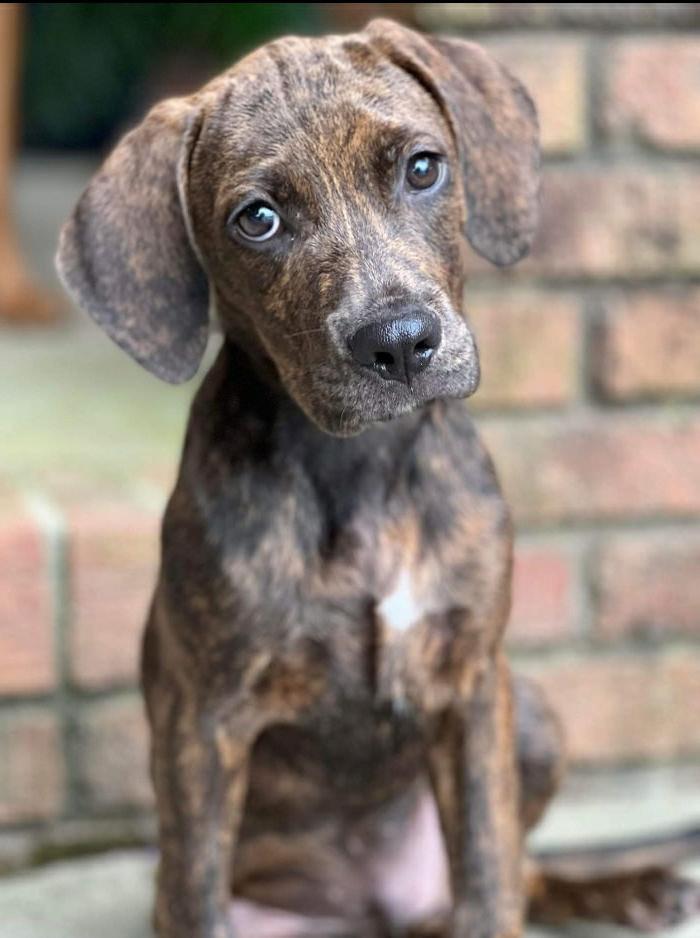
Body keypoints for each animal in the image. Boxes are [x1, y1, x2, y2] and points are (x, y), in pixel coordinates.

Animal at [56, 16, 700, 936]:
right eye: (258, 220)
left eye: (422, 168)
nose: (399, 343)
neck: (361, 469)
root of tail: (383, 913)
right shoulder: (202, 720)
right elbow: (196, 889)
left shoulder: (474, 683)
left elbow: (492, 868)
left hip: (533, 713)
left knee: (521, 870)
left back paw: (629, 888)